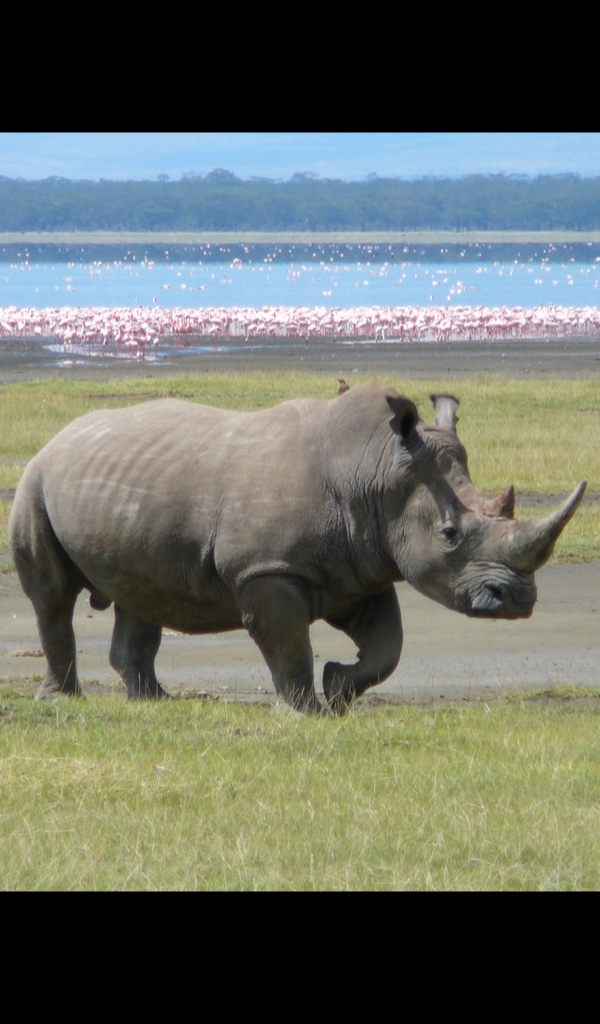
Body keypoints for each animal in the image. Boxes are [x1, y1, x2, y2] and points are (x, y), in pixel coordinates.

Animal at [9, 384, 586, 714]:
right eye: (448, 536)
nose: (518, 601)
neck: (374, 470)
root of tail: (60, 437)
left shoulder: (360, 566)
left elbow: (388, 647)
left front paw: (338, 690)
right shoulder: (268, 569)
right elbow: (288, 645)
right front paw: (305, 712)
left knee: (140, 592)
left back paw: (153, 703)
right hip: (35, 481)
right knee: (53, 597)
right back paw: (63, 700)